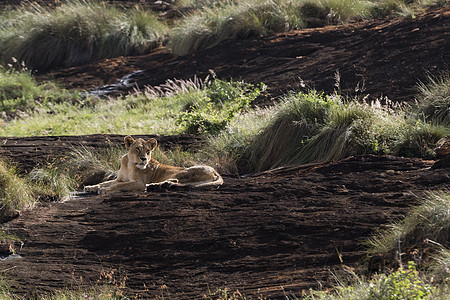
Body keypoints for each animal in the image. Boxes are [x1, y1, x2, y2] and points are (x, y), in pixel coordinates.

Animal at [84, 136, 223, 195]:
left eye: (148, 151)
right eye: (137, 149)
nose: (144, 159)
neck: (129, 164)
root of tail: (215, 171)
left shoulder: (139, 183)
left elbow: (118, 186)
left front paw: (105, 190)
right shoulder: (120, 179)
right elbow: (105, 182)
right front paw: (91, 187)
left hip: (184, 171)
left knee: (177, 181)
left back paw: (153, 186)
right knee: (181, 184)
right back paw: (156, 186)